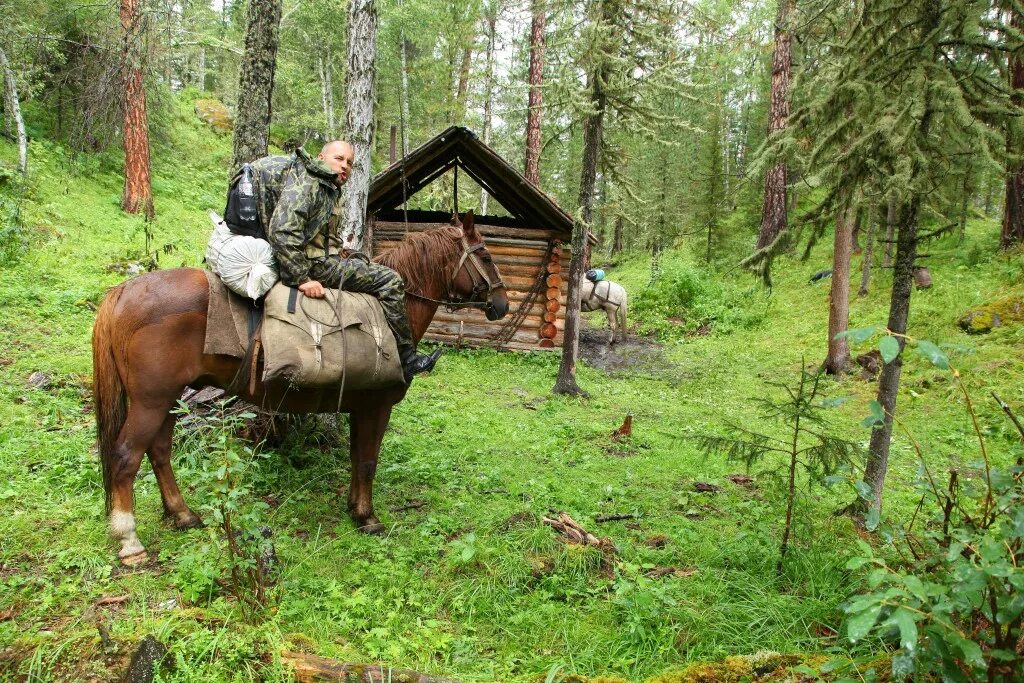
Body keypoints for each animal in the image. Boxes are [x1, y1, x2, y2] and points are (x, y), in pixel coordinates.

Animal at [94, 215, 509, 565]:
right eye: (486, 256)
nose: (502, 304)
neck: (391, 318)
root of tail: (123, 292)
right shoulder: (377, 406)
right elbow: (368, 461)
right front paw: (369, 518)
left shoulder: (360, 408)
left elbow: (357, 458)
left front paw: (354, 509)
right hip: (151, 402)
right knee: (126, 456)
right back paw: (130, 541)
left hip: (166, 400)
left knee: (159, 451)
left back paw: (181, 514)